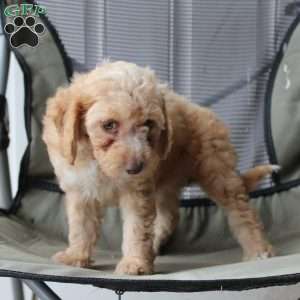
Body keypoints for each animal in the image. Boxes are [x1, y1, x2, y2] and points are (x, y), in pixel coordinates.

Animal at [42, 60, 276, 274]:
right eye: (109, 125)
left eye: (148, 124)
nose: (136, 167)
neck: (99, 163)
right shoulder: (80, 189)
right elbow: (81, 227)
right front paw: (75, 256)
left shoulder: (137, 191)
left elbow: (136, 228)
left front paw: (135, 263)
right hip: (166, 182)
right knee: (170, 214)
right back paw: (155, 244)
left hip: (218, 171)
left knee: (242, 212)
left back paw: (259, 250)